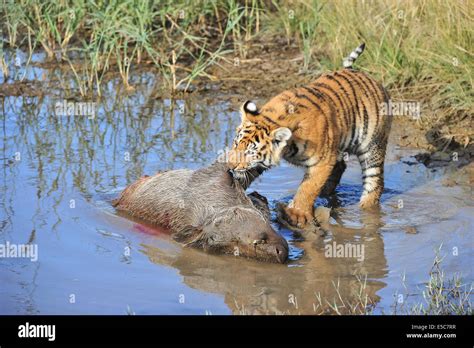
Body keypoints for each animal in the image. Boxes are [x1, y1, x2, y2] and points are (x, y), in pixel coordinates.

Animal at [226, 43, 392, 228]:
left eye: (250, 152)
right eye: (236, 144)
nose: (230, 166)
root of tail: (358, 72)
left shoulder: (322, 161)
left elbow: (308, 188)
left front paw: (297, 214)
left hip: (372, 146)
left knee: (375, 181)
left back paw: (366, 209)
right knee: (340, 167)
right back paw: (327, 193)